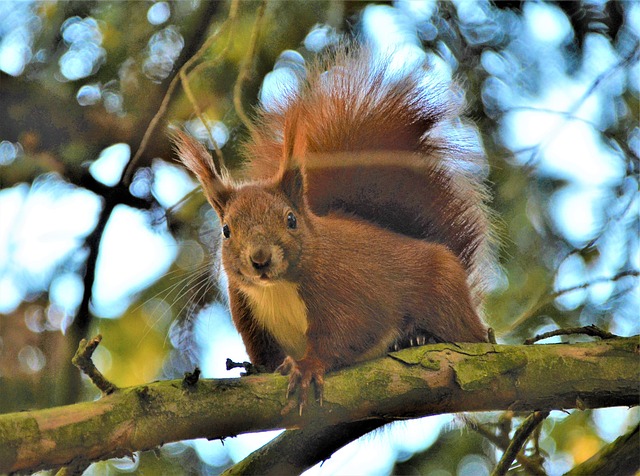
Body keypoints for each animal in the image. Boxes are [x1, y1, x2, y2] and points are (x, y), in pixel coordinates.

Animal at [172, 43, 492, 410]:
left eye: (291, 219)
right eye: (226, 231)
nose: (260, 259)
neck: (278, 289)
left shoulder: (346, 288)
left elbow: (345, 334)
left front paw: (308, 367)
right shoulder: (248, 313)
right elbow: (267, 358)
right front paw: (265, 368)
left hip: (444, 296)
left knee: (466, 334)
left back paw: (418, 338)